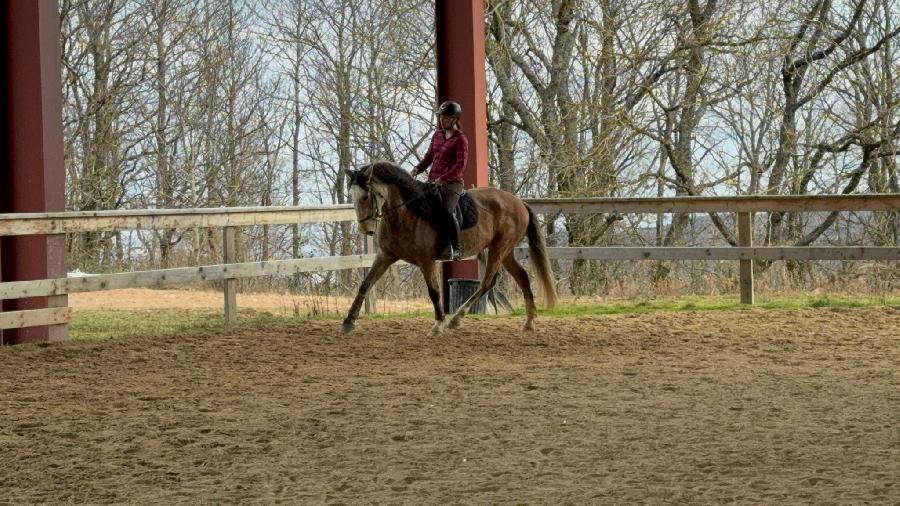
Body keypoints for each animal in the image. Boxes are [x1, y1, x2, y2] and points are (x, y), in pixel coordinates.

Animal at [341, 161, 557, 336]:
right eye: (352, 196)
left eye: (365, 197)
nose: (366, 229)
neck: (405, 214)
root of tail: (519, 202)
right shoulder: (385, 255)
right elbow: (366, 284)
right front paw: (348, 322)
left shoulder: (426, 261)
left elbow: (434, 291)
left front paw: (438, 324)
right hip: (506, 251)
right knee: (522, 277)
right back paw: (529, 322)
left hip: (499, 248)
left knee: (487, 282)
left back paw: (456, 319)